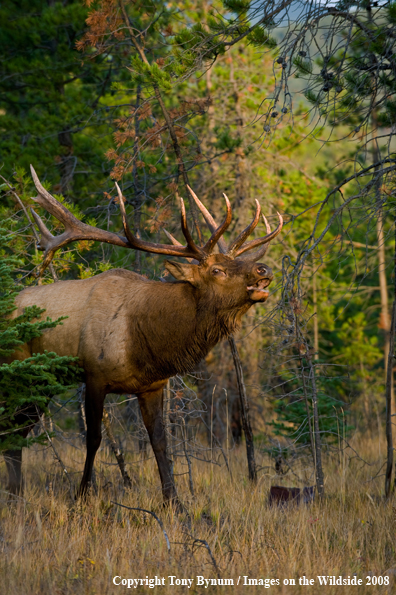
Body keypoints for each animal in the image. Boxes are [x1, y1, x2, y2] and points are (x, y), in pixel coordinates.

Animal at [2, 166, 282, 502]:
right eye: (217, 270)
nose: (264, 269)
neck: (145, 342)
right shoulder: (94, 375)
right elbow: (94, 439)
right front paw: (82, 495)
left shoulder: (152, 386)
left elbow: (160, 442)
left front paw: (174, 501)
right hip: (19, 372)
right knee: (11, 429)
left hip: (41, 384)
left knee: (16, 432)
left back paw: (16, 491)